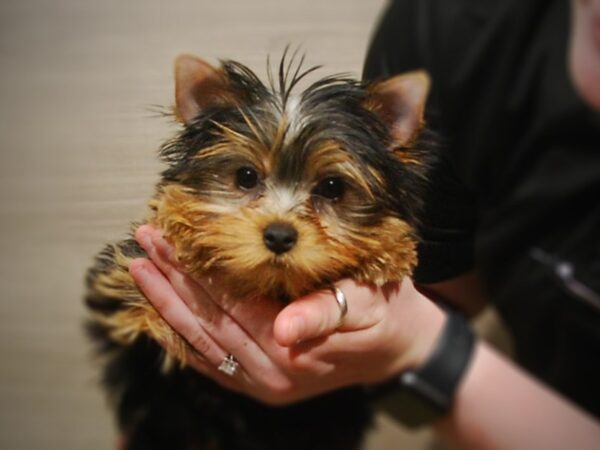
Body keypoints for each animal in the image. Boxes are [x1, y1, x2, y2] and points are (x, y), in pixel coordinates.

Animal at [85, 50, 432, 450]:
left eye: (332, 188)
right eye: (245, 177)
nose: (279, 235)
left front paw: (389, 248)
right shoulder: (121, 282)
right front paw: (182, 225)